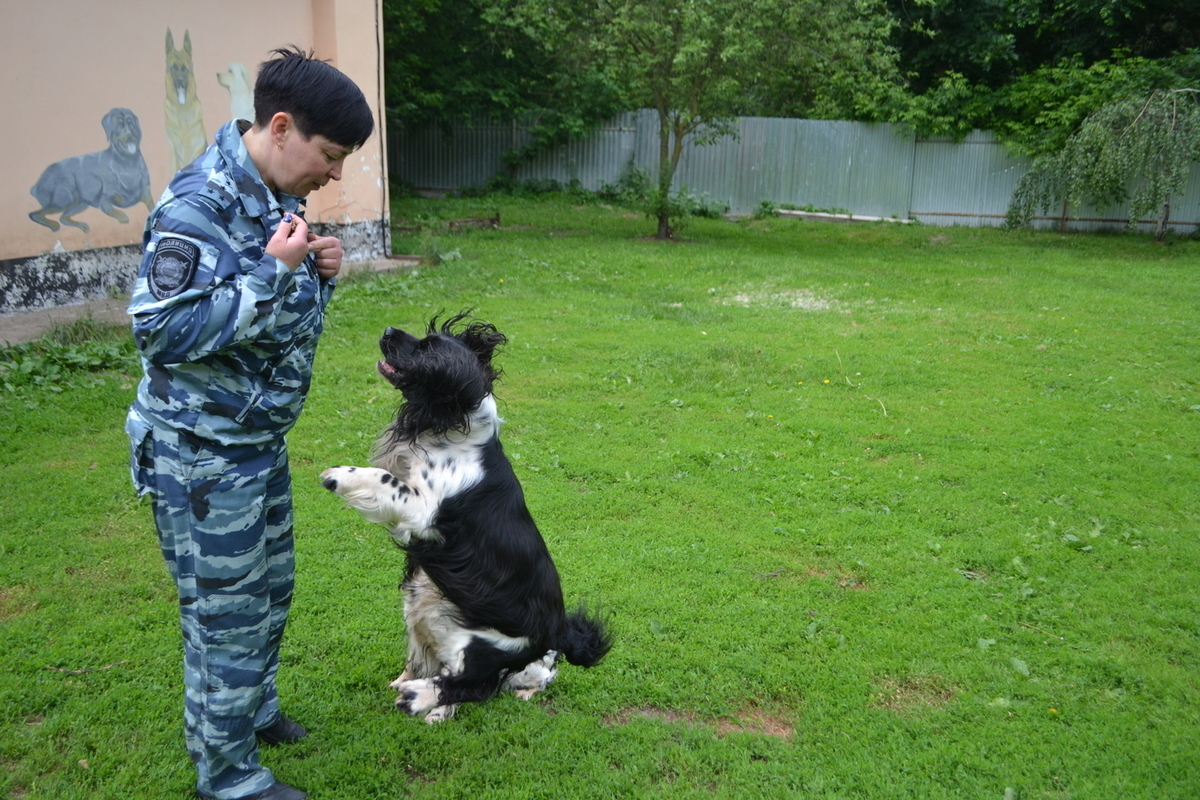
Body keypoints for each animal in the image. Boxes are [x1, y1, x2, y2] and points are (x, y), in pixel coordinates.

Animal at [319, 316, 609, 724]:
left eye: (426, 348)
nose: (389, 331)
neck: (452, 432)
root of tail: (557, 632)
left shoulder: (422, 509)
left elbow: (383, 479)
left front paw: (339, 476)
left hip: (474, 645)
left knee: (473, 685)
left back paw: (420, 699)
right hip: (422, 609)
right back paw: (408, 686)